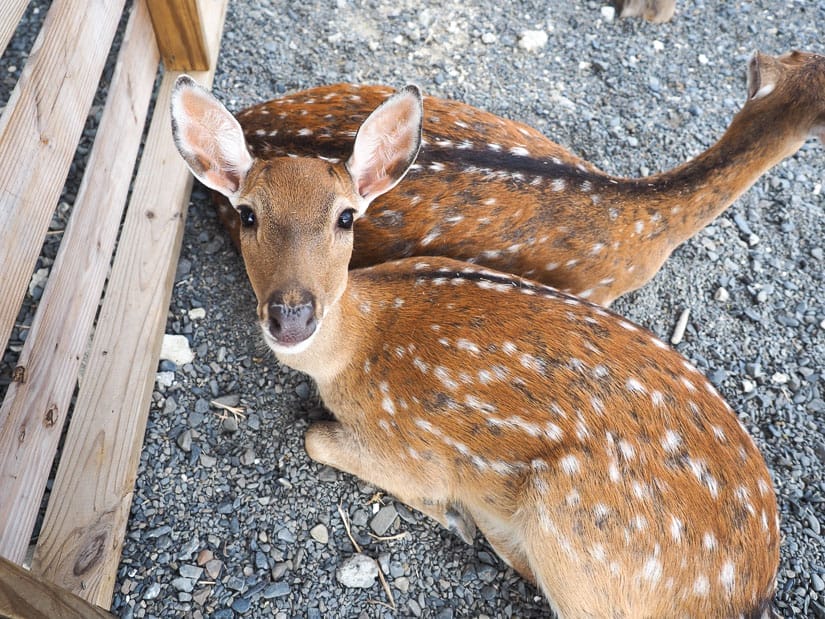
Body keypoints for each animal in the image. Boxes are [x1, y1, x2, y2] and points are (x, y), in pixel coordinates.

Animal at [171, 71, 781, 617]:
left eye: (346, 216)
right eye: (248, 213)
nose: (291, 317)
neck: (355, 345)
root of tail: (746, 596)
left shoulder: (410, 448)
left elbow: (315, 438)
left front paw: (452, 513)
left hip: (576, 530)